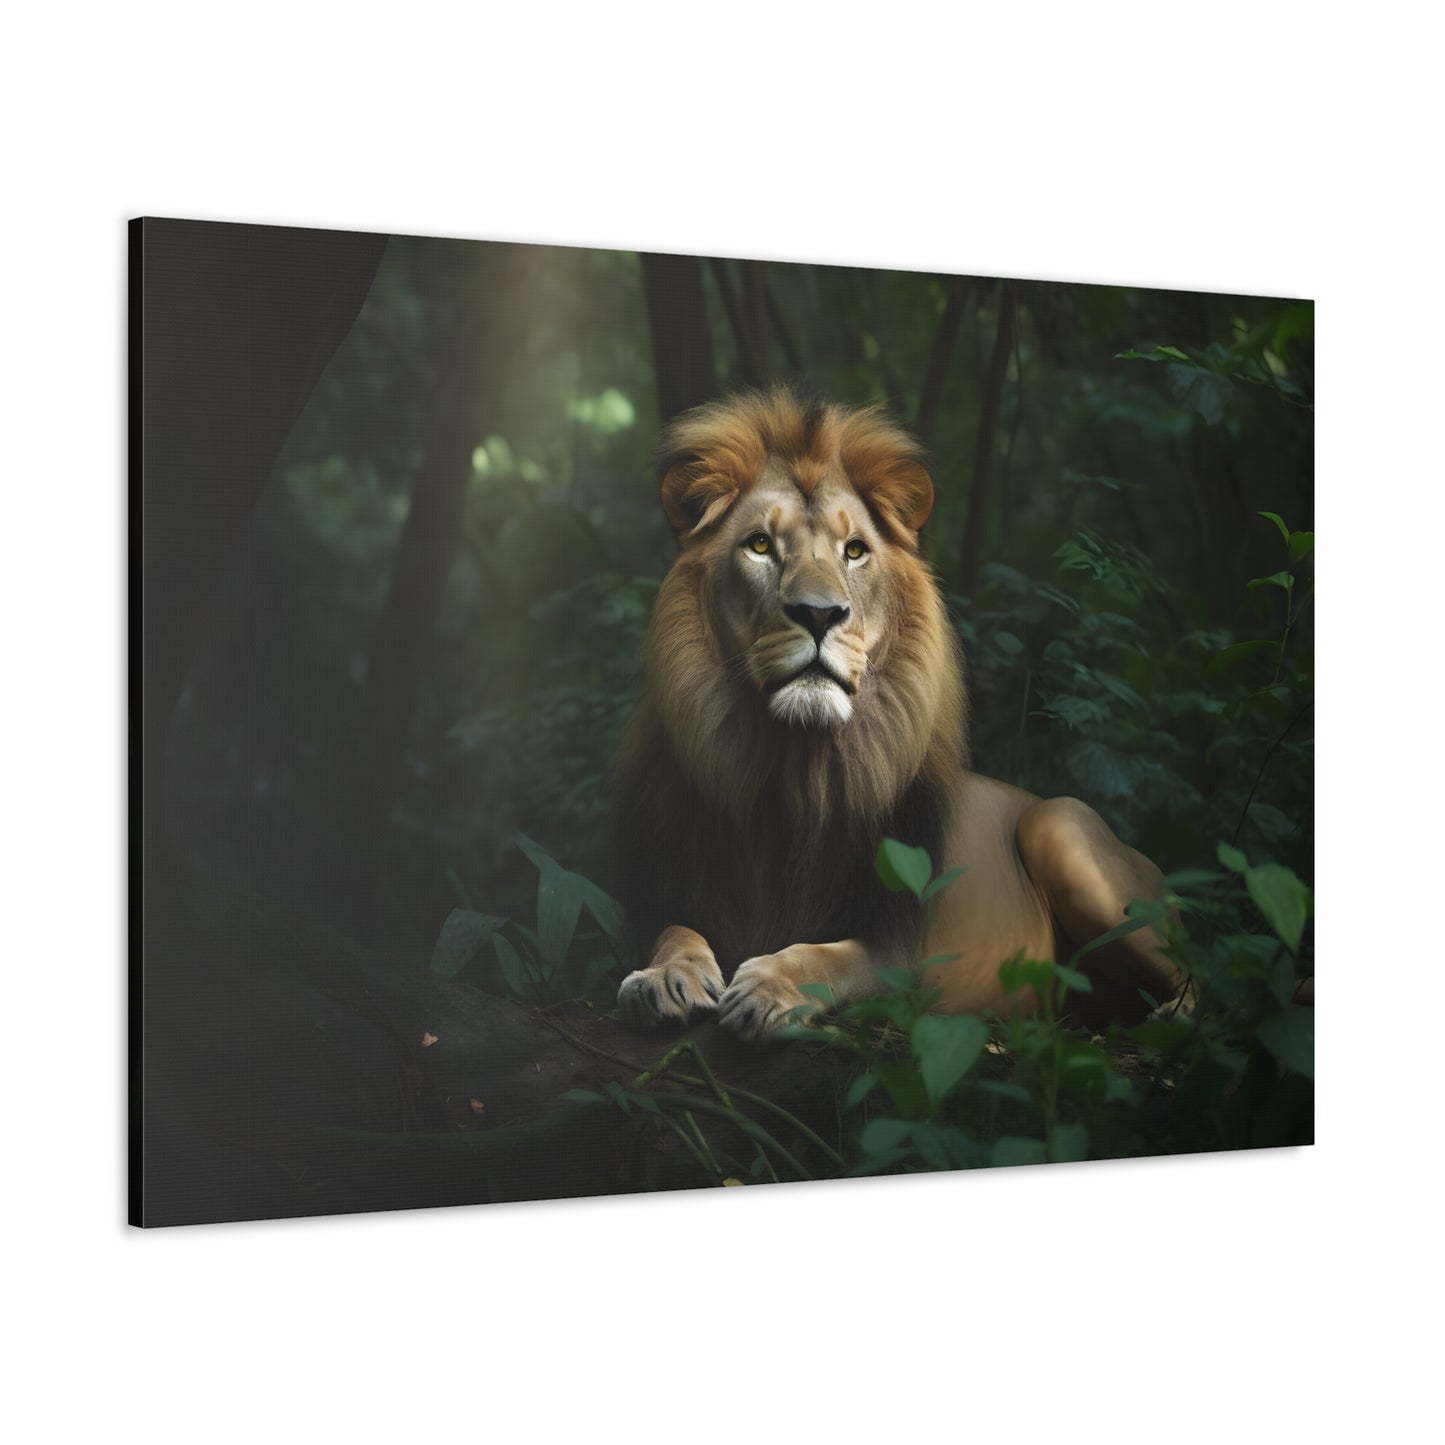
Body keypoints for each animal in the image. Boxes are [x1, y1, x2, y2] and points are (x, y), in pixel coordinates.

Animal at [614, 386, 1188, 1040]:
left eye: (855, 551)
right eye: (760, 545)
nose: (818, 614)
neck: (790, 769)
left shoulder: (902, 952)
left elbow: (824, 955)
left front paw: (768, 987)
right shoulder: (664, 888)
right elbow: (672, 929)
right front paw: (666, 977)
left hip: (1061, 824)